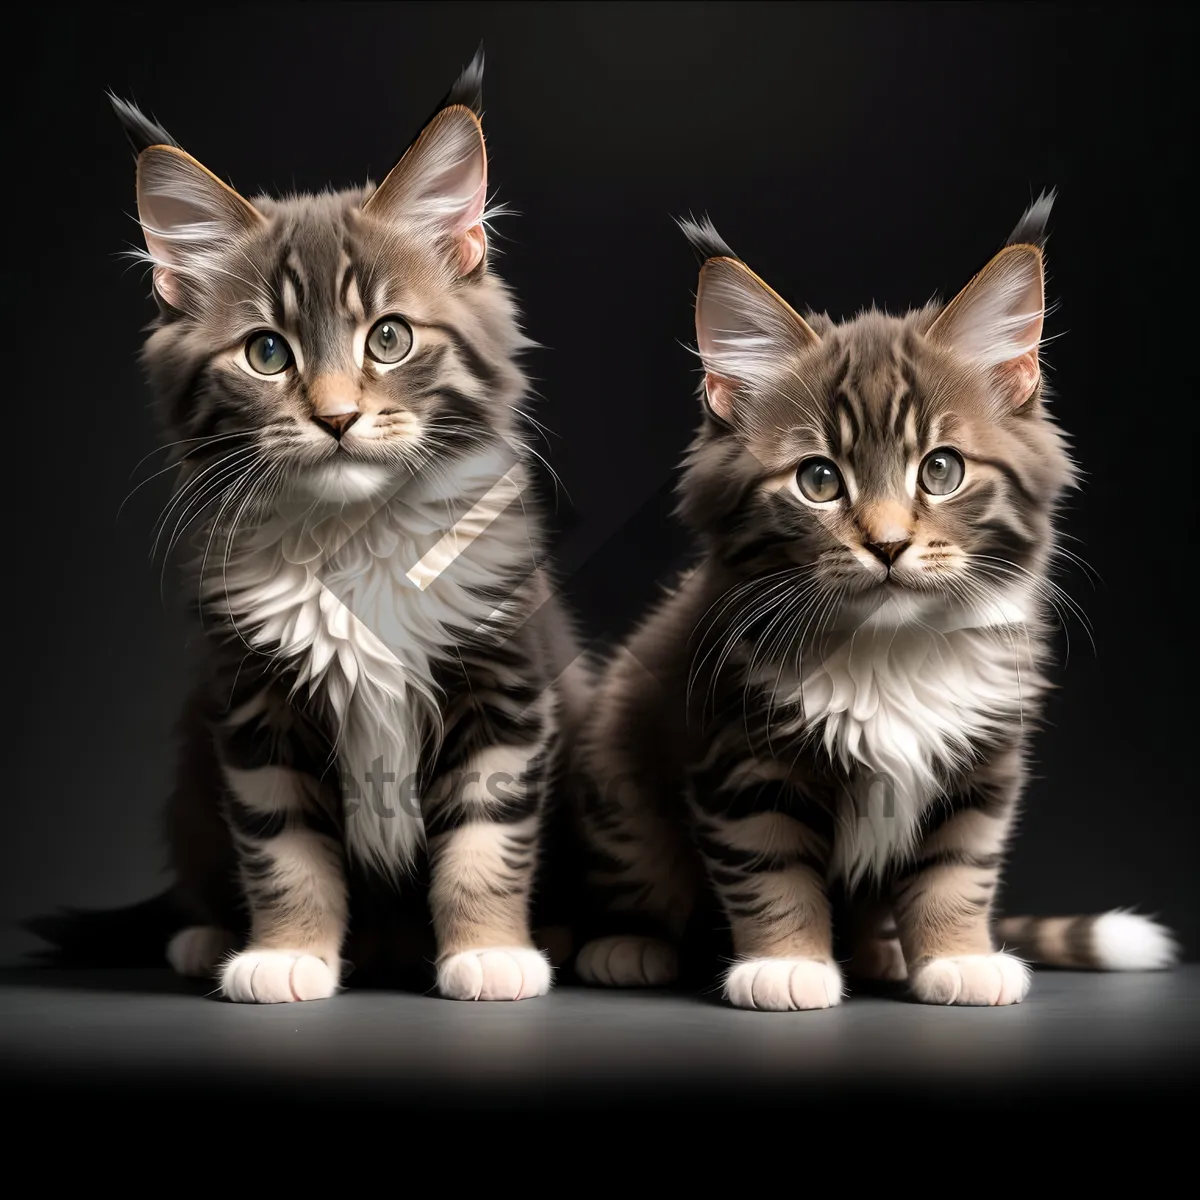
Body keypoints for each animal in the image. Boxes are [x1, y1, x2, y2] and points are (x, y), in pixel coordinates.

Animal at [29, 51, 585, 1003]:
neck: (354, 538)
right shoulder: (255, 704)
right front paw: (287, 954)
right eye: (267, 353)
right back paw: (204, 936)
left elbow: (486, 838)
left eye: (389, 339)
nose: (335, 417)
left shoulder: (505, 681)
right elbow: (283, 847)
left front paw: (489, 952)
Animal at [576, 201, 1176, 1008]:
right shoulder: (742, 756)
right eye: (819, 480)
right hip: (616, 771)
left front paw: (958, 957)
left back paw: (883, 953)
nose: (888, 545)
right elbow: (771, 871)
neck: (888, 651)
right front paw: (786, 965)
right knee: (636, 868)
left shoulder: (982, 762)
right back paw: (628, 945)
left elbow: (958, 870)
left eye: (942, 470)